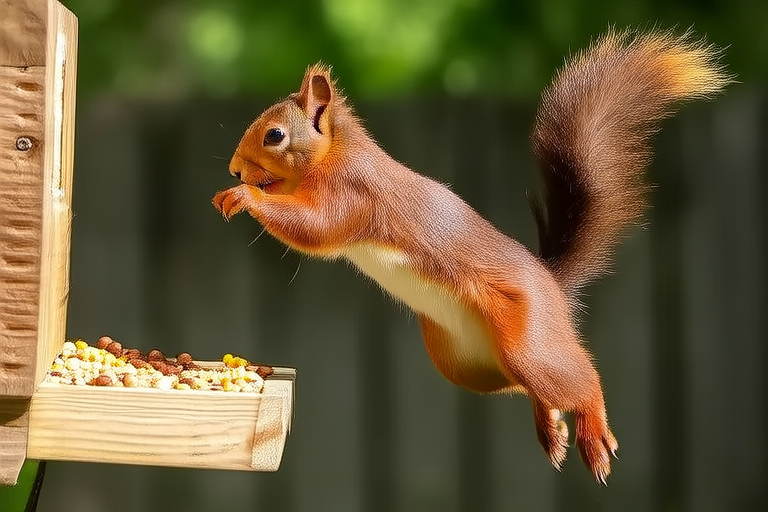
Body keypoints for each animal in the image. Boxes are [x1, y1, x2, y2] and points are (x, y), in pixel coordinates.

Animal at [213, 29, 729, 484]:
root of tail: (553, 287)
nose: (235, 169)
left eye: (275, 136)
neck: (335, 152)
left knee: (580, 379)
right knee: (532, 388)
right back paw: (551, 427)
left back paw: (594, 430)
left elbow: (315, 229)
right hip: (467, 364)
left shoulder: (353, 192)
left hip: (527, 339)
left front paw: (244, 197)